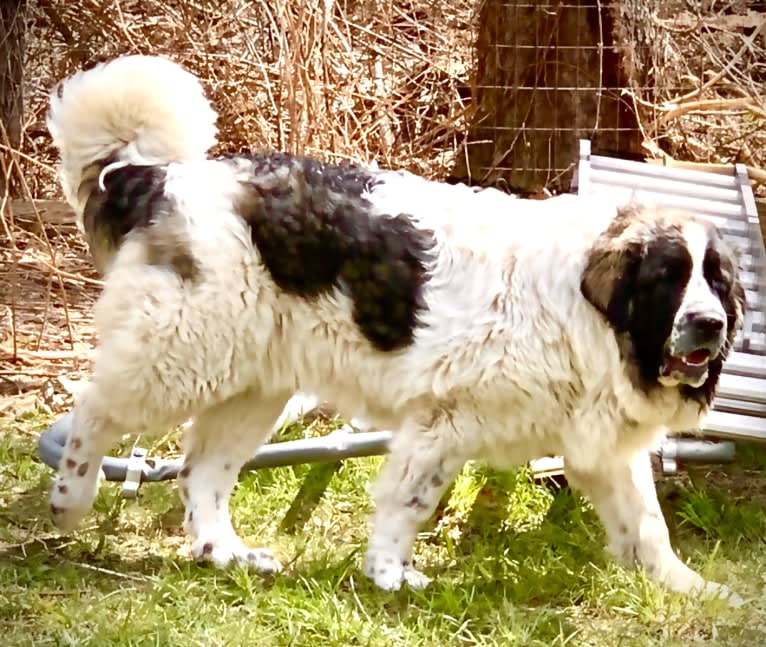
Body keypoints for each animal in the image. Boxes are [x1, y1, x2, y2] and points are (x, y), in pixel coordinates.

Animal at [45, 54, 748, 604]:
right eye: (666, 277)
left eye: (715, 281)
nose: (709, 325)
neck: (589, 317)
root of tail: (158, 177)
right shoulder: (444, 422)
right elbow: (410, 503)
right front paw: (389, 574)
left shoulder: (600, 447)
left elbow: (647, 528)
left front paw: (697, 591)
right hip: (180, 356)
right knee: (94, 411)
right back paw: (71, 497)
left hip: (251, 386)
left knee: (202, 474)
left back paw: (227, 554)